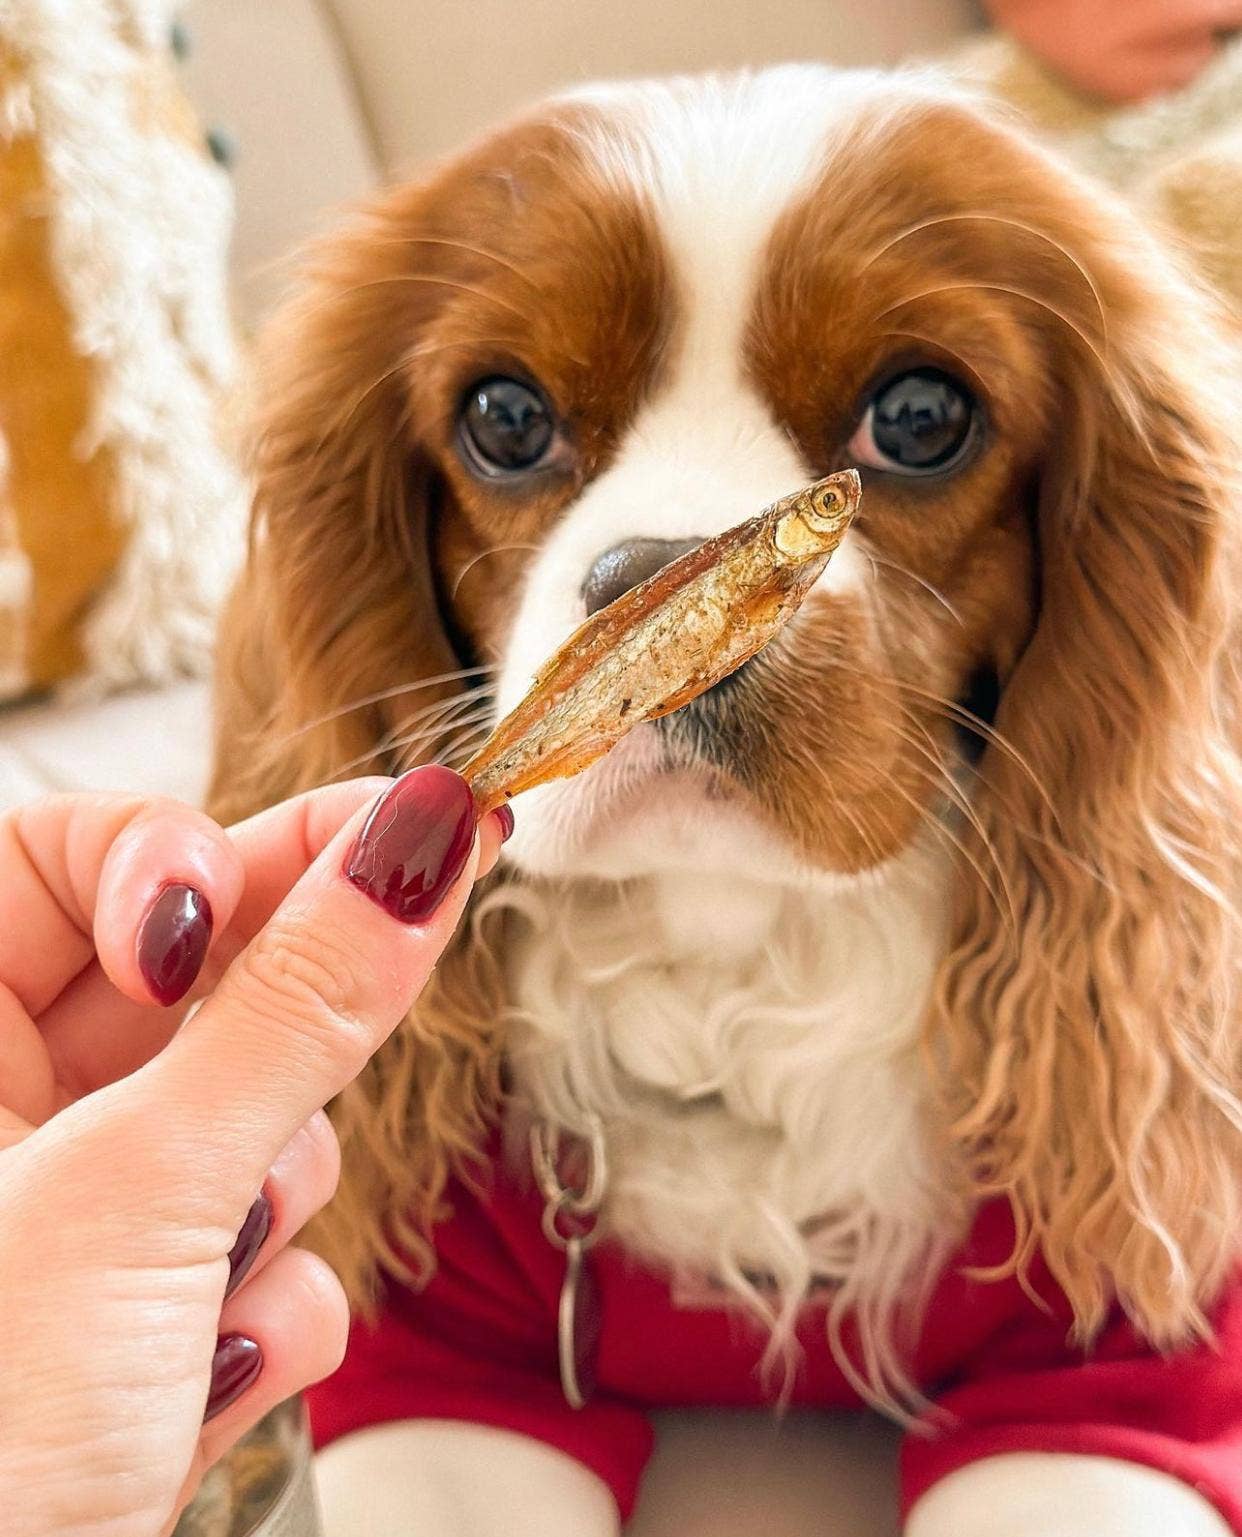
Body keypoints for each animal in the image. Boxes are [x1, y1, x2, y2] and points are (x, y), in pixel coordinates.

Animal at [209, 63, 1242, 1537]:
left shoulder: (1115, 1376)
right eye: (504, 418)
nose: (664, 578)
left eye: (922, 417)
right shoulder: (435, 1382)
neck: (729, 955)